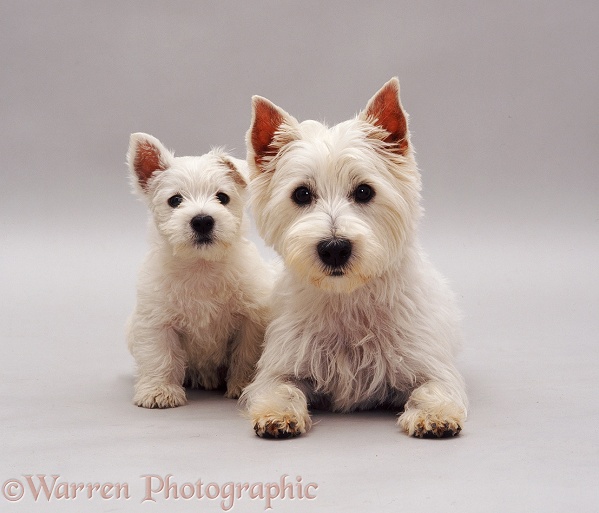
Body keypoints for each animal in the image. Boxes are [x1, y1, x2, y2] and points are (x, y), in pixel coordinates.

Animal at [126, 133, 272, 408]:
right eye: (175, 200)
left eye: (222, 197)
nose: (202, 220)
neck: (200, 266)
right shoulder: (157, 322)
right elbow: (160, 356)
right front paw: (159, 390)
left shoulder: (250, 320)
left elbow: (245, 355)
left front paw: (242, 386)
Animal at [239, 78, 468, 438]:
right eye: (301, 194)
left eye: (364, 191)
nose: (334, 248)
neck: (347, 299)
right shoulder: (280, 366)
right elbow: (281, 388)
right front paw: (278, 415)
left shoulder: (430, 364)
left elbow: (433, 388)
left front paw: (435, 415)